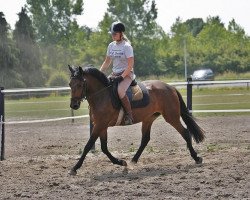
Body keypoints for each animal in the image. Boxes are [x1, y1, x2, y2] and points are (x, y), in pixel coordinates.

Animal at [68, 65, 205, 175]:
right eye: (70, 84)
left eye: (80, 84)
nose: (74, 105)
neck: (102, 95)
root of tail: (170, 87)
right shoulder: (101, 125)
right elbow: (104, 148)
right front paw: (121, 162)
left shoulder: (100, 125)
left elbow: (88, 146)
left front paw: (74, 168)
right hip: (148, 119)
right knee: (145, 139)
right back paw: (133, 160)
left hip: (171, 117)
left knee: (185, 133)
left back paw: (196, 158)